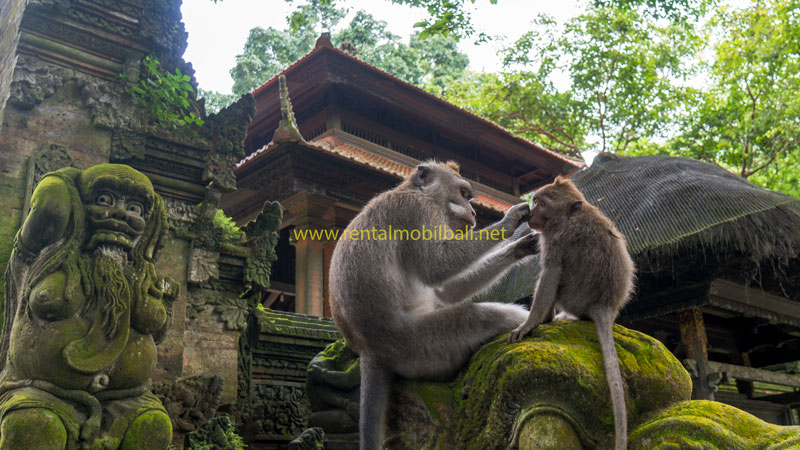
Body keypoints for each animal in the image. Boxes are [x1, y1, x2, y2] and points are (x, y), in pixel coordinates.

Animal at [328, 160, 540, 448]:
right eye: (463, 193)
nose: (473, 210)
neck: (417, 192)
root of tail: (369, 351)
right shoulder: (417, 212)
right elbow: (438, 267)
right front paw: (509, 222)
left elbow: (446, 290)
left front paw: (521, 247)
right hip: (420, 346)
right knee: (479, 316)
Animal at [510, 176, 636, 450]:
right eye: (535, 200)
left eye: (543, 204)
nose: (530, 214)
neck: (570, 216)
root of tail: (605, 306)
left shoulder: (557, 239)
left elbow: (551, 273)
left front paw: (530, 323)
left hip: (572, 299)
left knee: (554, 281)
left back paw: (548, 318)